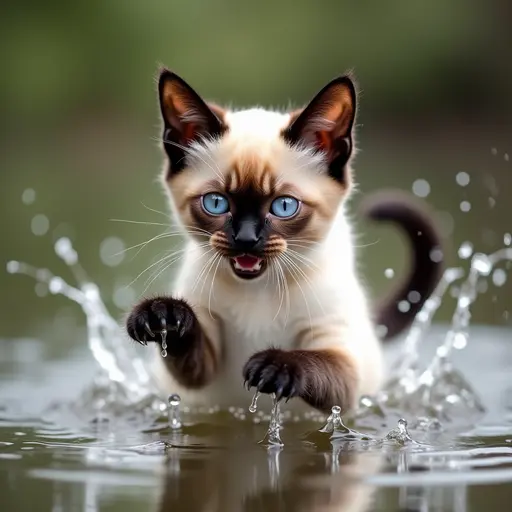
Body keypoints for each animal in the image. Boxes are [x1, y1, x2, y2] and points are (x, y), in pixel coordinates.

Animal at [125, 69, 444, 412]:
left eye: (284, 206)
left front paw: (273, 368)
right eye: (216, 203)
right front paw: (163, 316)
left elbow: (315, 363)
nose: (246, 239)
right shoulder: (202, 366)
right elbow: (191, 350)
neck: (257, 291)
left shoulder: (342, 364)